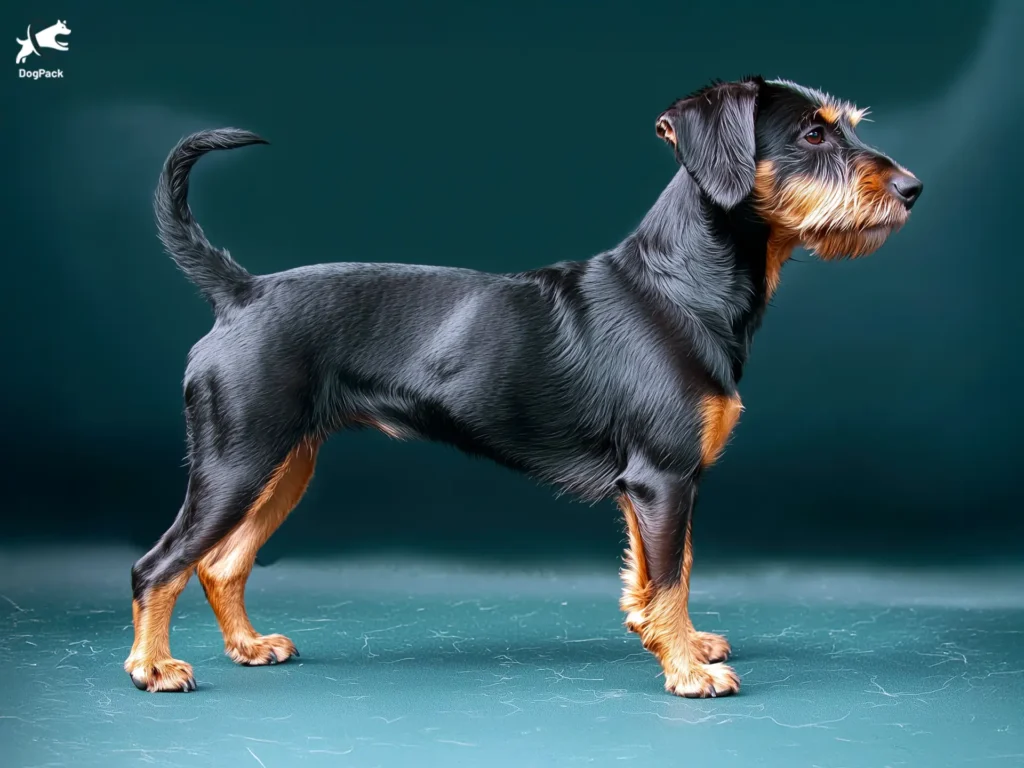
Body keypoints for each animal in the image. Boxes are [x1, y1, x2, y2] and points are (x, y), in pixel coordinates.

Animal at [125, 76, 921, 696]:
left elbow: (664, 572)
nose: (913, 188)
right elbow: (671, 574)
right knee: (157, 565)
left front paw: (676, 643)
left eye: (846, 127)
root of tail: (242, 293)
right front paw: (689, 672)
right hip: (237, 463)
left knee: (221, 564)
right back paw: (153, 666)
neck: (682, 286)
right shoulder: (664, 477)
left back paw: (248, 647)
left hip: (285, 465)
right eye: (813, 136)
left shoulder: (656, 485)